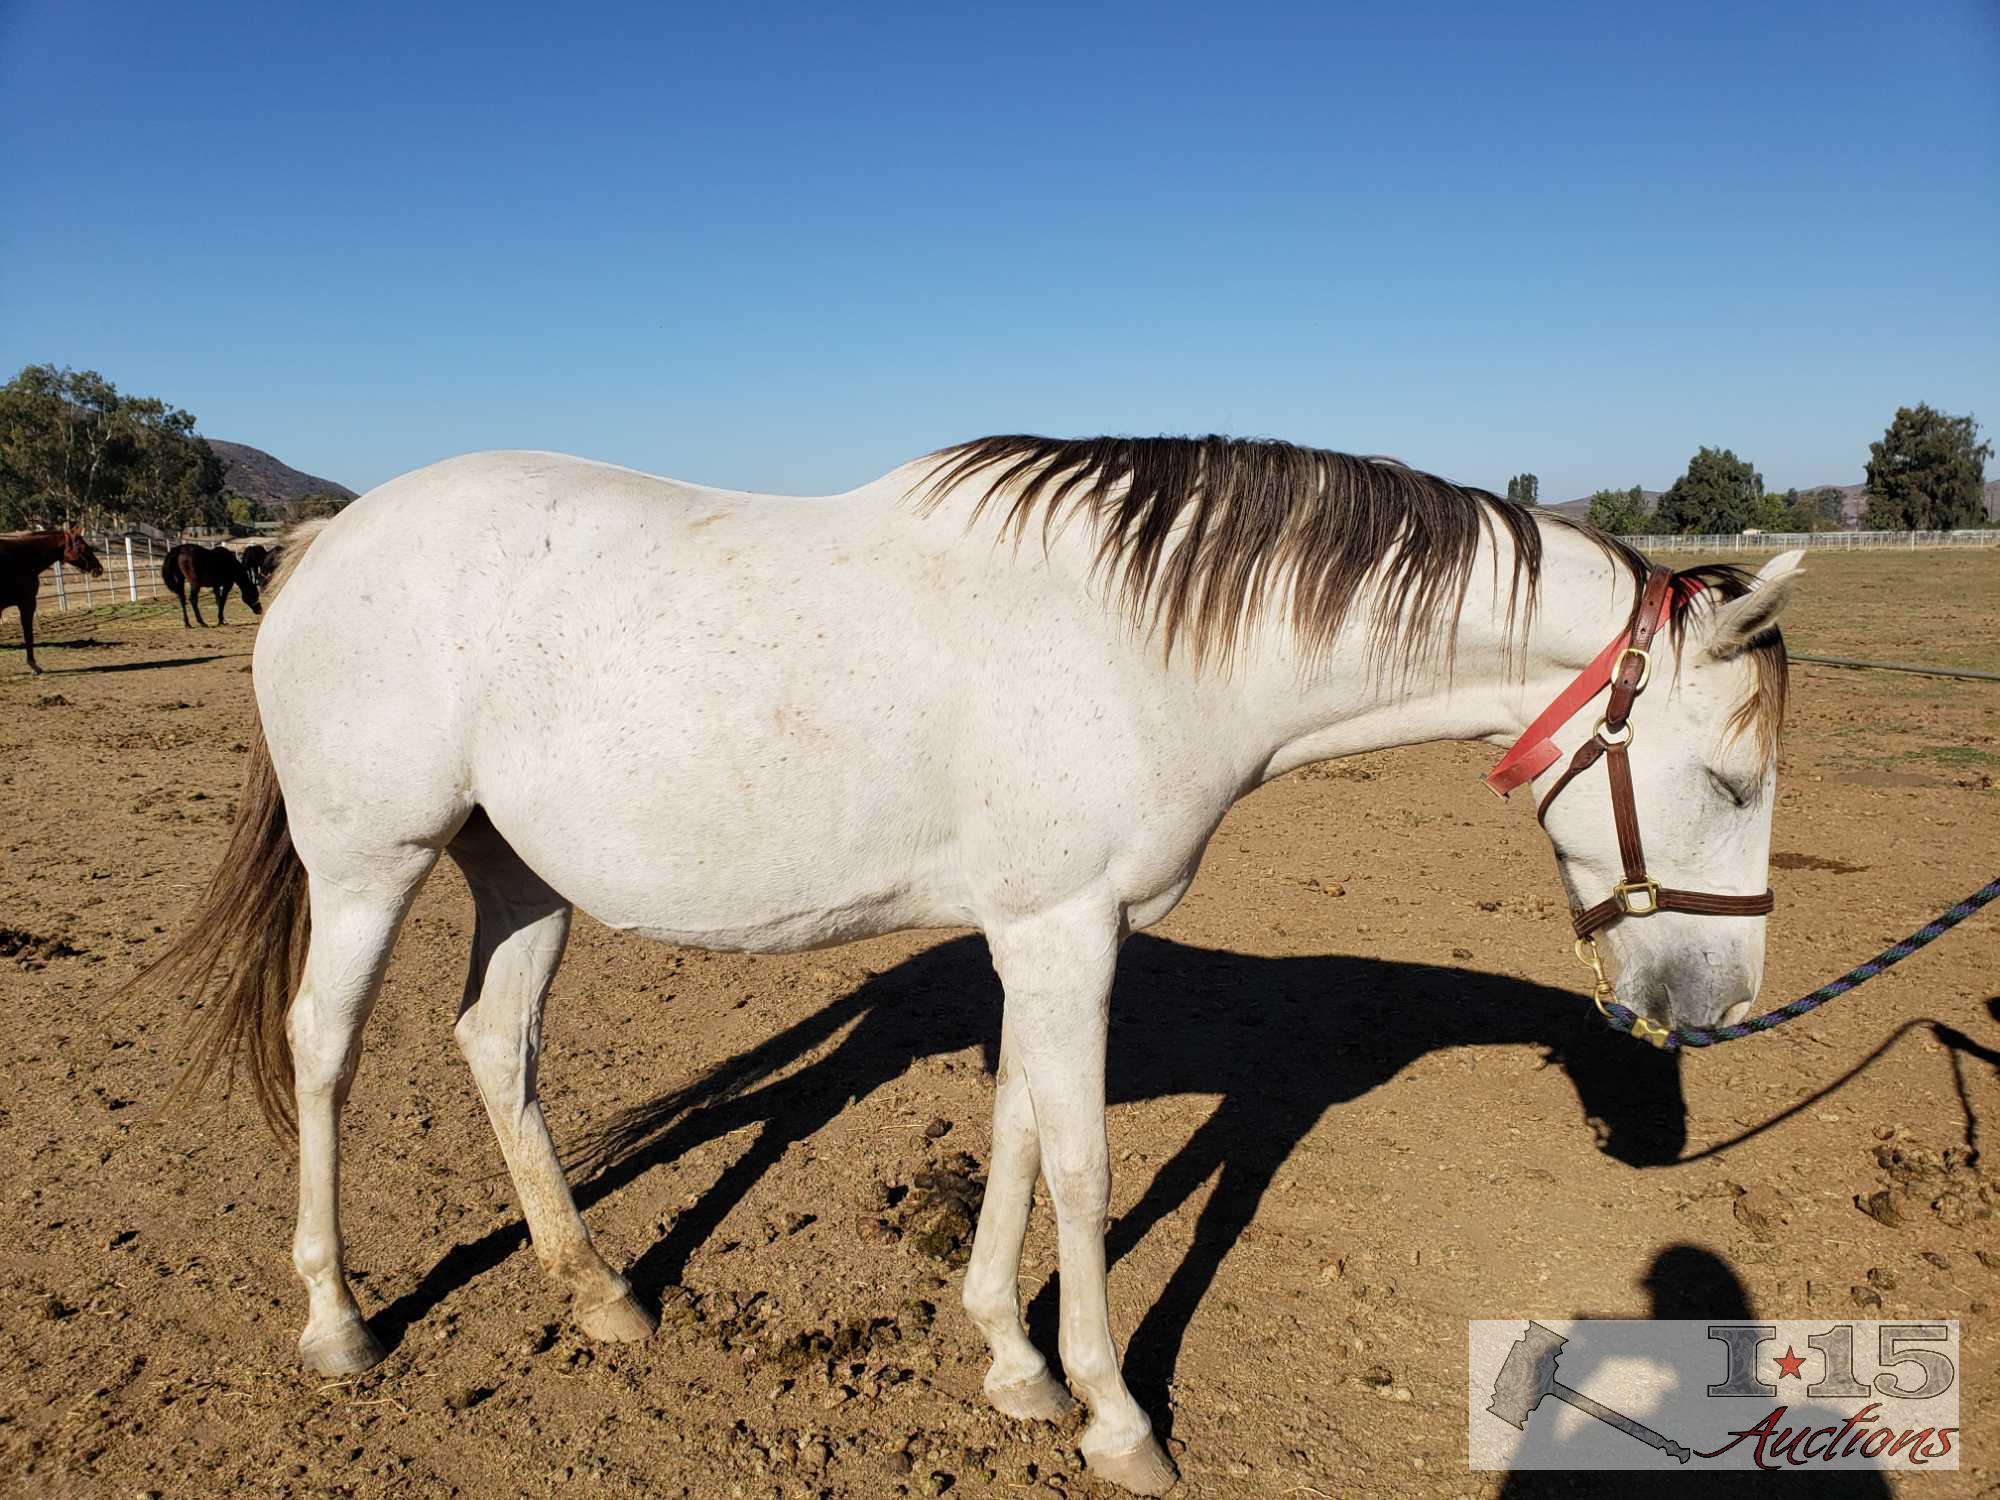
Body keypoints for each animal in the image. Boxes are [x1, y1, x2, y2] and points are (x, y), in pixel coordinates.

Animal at [0, 528, 105, 668]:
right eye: (83, 547)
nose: (99, 568)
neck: (21, 558)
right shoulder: (27, 603)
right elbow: (28, 633)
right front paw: (33, 665)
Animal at [141, 434, 1800, 1496]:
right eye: (1731, 781)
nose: (1714, 1012)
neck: (1145, 643)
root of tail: (327, 542)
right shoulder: (1061, 927)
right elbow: (1079, 1158)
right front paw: (1115, 1420)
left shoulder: (1049, 929)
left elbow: (1014, 1128)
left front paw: (1010, 1359)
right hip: (371, 859)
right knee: (324, 1050)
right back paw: (340, 1324)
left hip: (518, 870)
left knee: (497, 1046)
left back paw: (599, 1293)